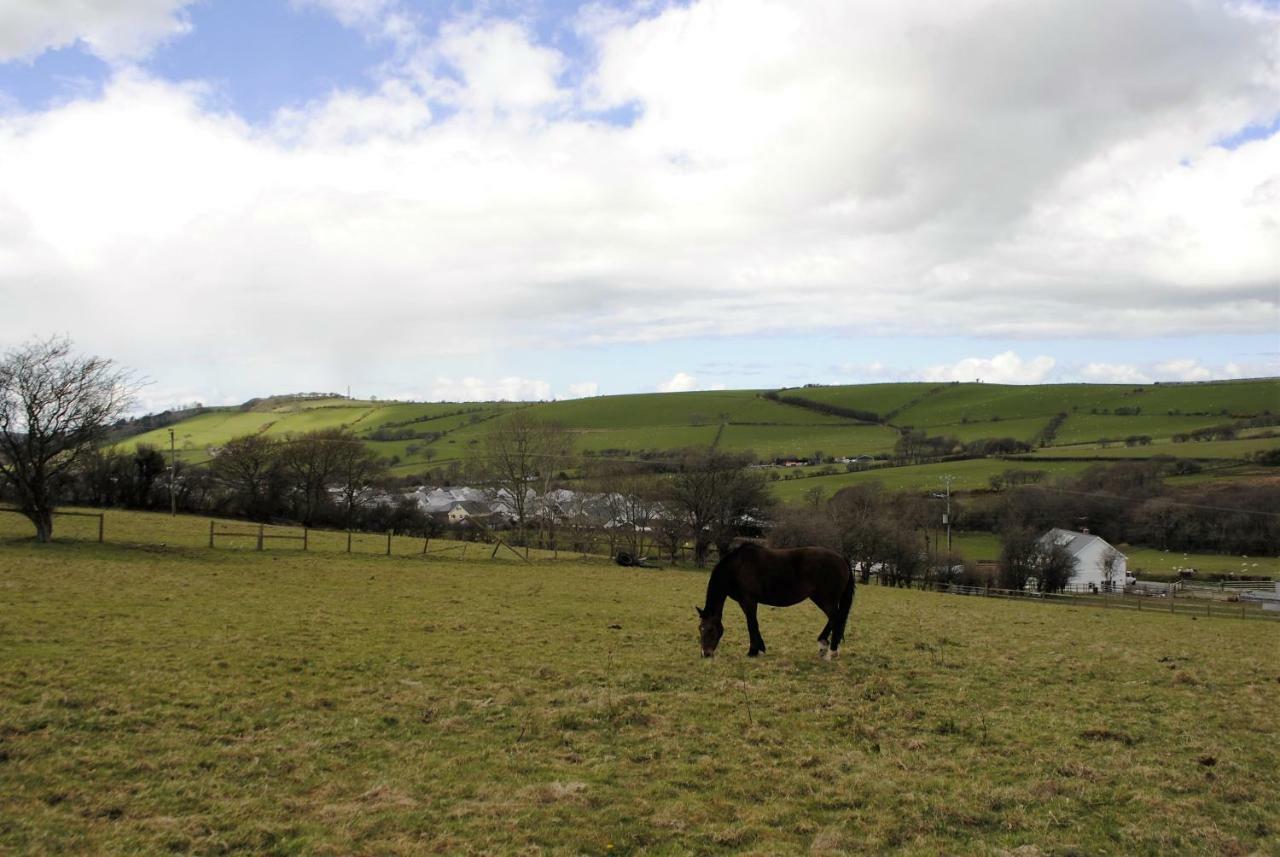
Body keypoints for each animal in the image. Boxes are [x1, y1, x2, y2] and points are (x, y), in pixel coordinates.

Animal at [696, 547, 855, 660]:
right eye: (700, 628)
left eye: (710, 629)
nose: (705, 654)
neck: (737, 567)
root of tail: (841, 558)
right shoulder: (744, 602)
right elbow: (754, 624)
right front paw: (760, 649)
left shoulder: (749, 601)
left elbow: (751, 624)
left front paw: (752, 651)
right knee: (834, 619)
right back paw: (823, 646)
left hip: (825, 599)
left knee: (837, 619)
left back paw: (832, 652)